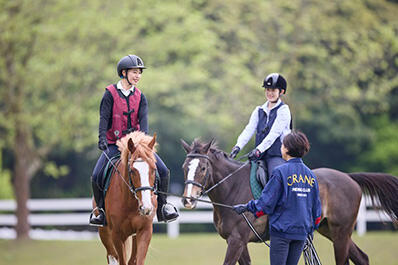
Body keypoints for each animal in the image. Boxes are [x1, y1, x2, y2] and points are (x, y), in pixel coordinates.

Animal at [95, 131, 159, 264]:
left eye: (153, 169)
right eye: (133, 170)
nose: (146, 208)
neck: (130, 203)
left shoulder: (145, 231)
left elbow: (138, 261)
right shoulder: (117, 235)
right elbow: (121, 260)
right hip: (104, 233)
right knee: (112, 256)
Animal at [180, 138, 398, 264]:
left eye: (203, 168)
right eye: (184, 167)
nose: (188, 200)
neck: (233, 188)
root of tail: (349, 177)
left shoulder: (237, 241)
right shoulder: (236, 242)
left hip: (341, 234)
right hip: (331, 231)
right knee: (362, 258)